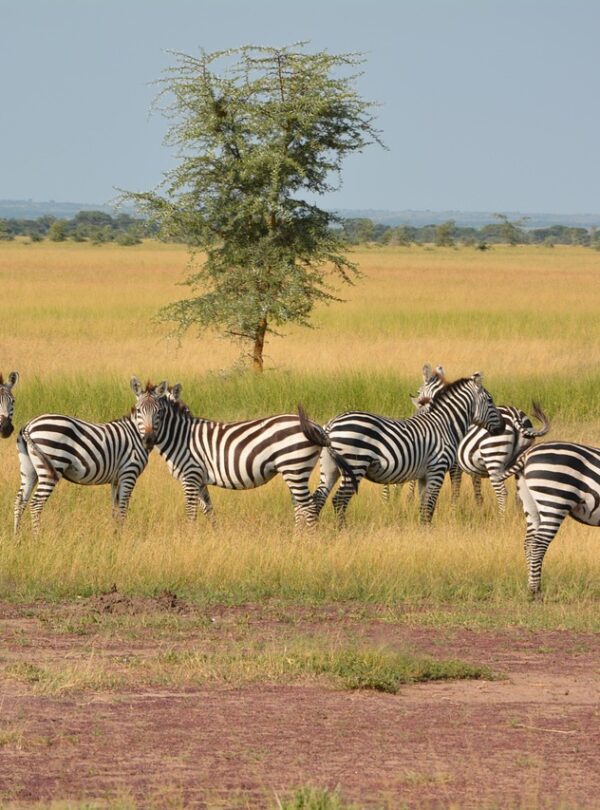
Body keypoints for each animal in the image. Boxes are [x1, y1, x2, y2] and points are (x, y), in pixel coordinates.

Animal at [13, 377, 168, 533]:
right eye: (138, 410)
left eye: (159, 412)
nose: (149, 440)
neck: (134, 433)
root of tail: (29, 425)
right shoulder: (129, 474)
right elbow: (123, 509)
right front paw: (122, 535)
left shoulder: (116, 479)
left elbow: (115, 509)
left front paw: (115, 534)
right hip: (51, 467)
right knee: (36, 504)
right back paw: (37, 537)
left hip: (29, 469)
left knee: (20, 501)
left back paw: (17, 536)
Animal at [149, 385, 356, 527]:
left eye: (159, 412)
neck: (179, 436)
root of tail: (316, 426)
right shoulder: (199, 480)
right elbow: (208, 510)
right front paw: (214, 535)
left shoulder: (191, 477)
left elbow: (194, 511)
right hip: (296, 470)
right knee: (302, 505)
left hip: (294, 466)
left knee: (308, 506)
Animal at [303, 373, 505, 526]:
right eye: (490, 400)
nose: (502, 428)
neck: (445, 425)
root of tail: (331, 424)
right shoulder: (437, 469)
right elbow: (430, 506)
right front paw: (427, 534)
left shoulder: (424, 475)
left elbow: (423, 506)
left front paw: (423, 531)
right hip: (354, 465)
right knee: (339, 500)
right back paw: (342, 531)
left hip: (330, 468)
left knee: (319, 498)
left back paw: (315, 532)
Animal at [500, 441, 600, 598]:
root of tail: (527, 454)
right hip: (554, 502)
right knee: (538, 545)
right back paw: (535, 591)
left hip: (530, 505)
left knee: (529, 543)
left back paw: (531, 589)